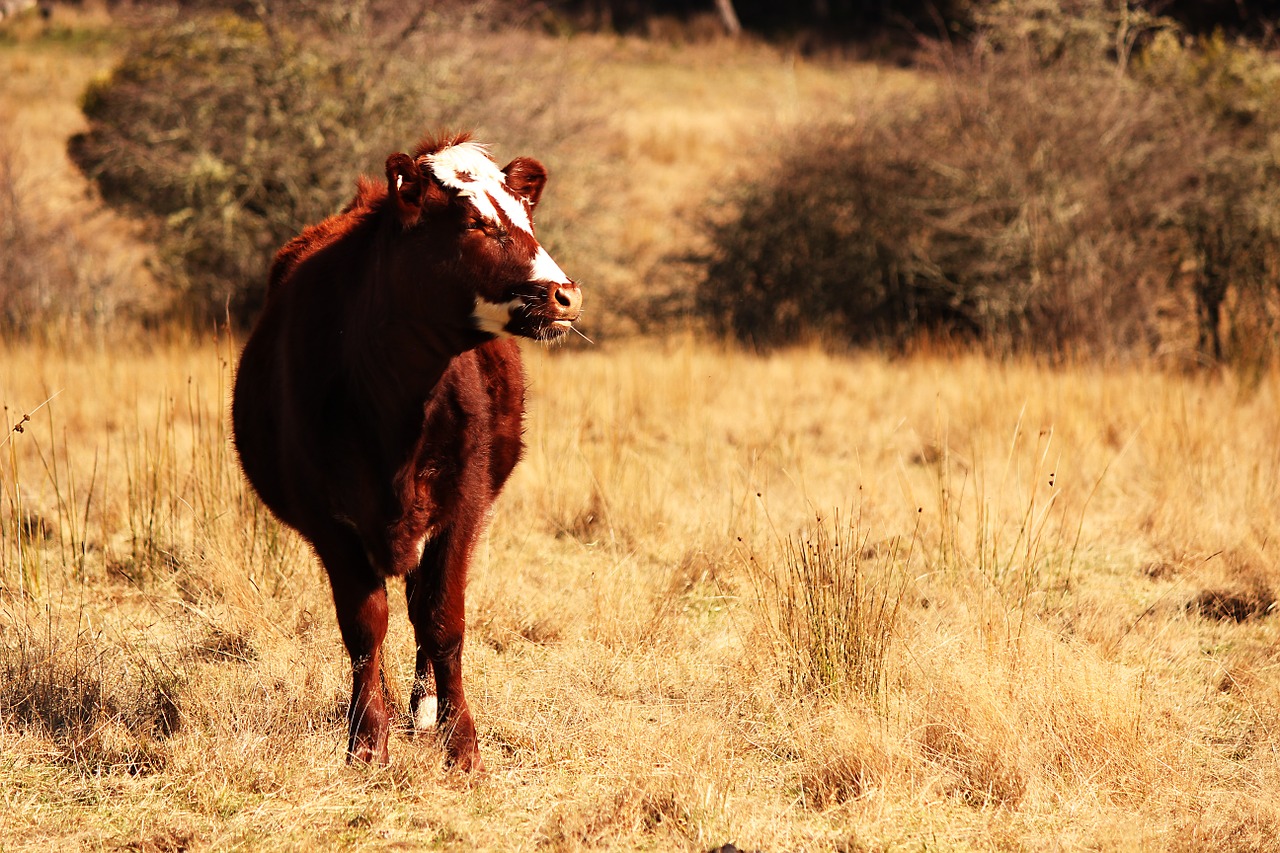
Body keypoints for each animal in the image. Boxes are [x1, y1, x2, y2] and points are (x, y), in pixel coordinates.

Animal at [232, 133, 583, 768]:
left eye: (527, 218)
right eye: (474, 222)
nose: (565, 295)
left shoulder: (462, 507)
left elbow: (442, 620)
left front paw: (460, 745)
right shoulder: (330, 522)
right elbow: (364, 625)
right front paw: (368, 740)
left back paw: (421, 711)